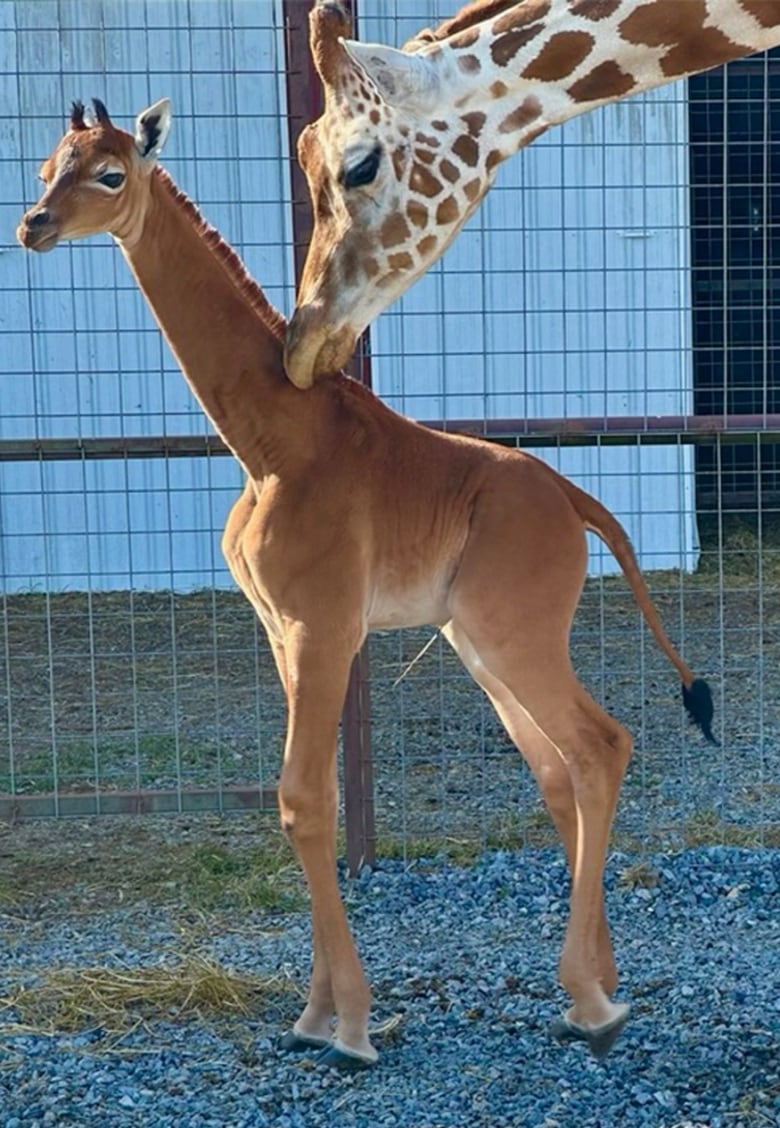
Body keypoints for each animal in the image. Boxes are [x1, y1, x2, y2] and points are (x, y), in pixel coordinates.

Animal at [16, 97, 713, 1064]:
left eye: (111, 174)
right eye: (47, 166)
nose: (33, 225)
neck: (270, 442)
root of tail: (576, 500)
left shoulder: (324, 626)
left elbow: (304, 799)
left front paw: (346, 1022)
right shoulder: (282, 632)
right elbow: (315, 801)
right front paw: (315, 1013)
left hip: (515, 634)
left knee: (600, 745)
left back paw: (591, 1000)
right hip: (478, 643)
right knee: (559, 766)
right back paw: (600, 985)